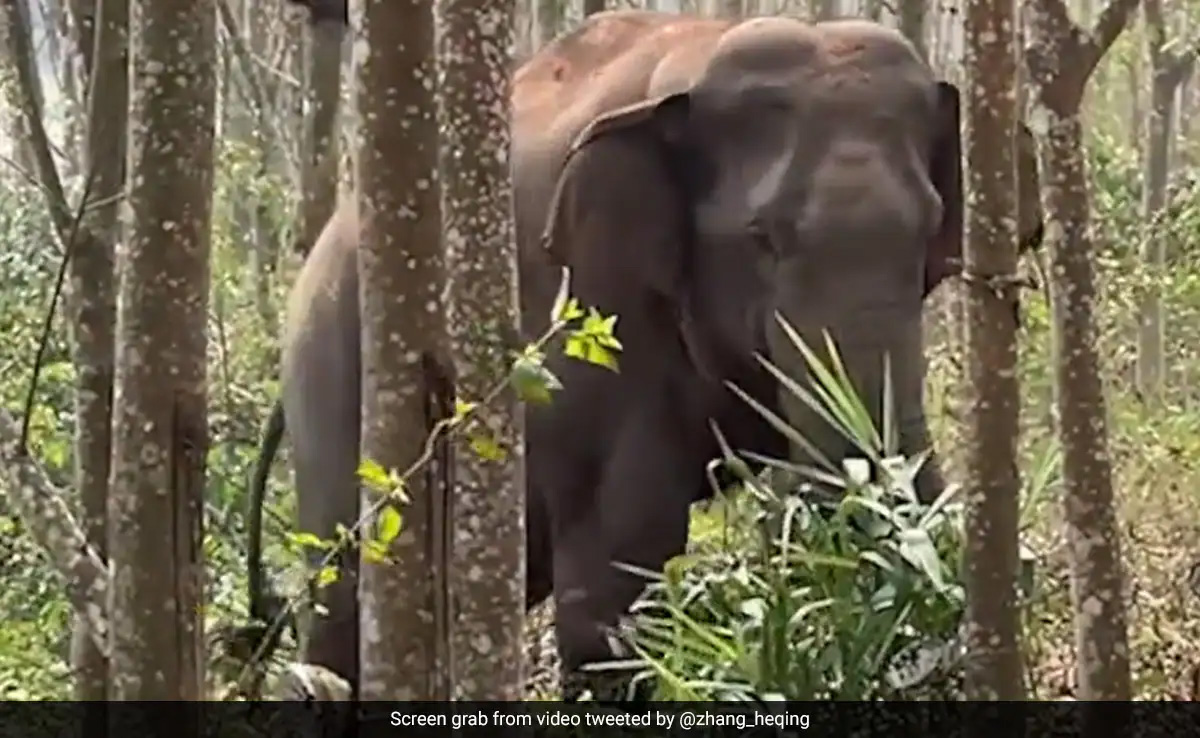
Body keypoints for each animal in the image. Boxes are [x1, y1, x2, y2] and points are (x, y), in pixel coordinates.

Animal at [247, 6, 1045, 699]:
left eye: (930, 228)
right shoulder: (592, 307)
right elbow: (619, 566)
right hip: (334, 379)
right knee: (349, 591)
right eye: (762, 238)